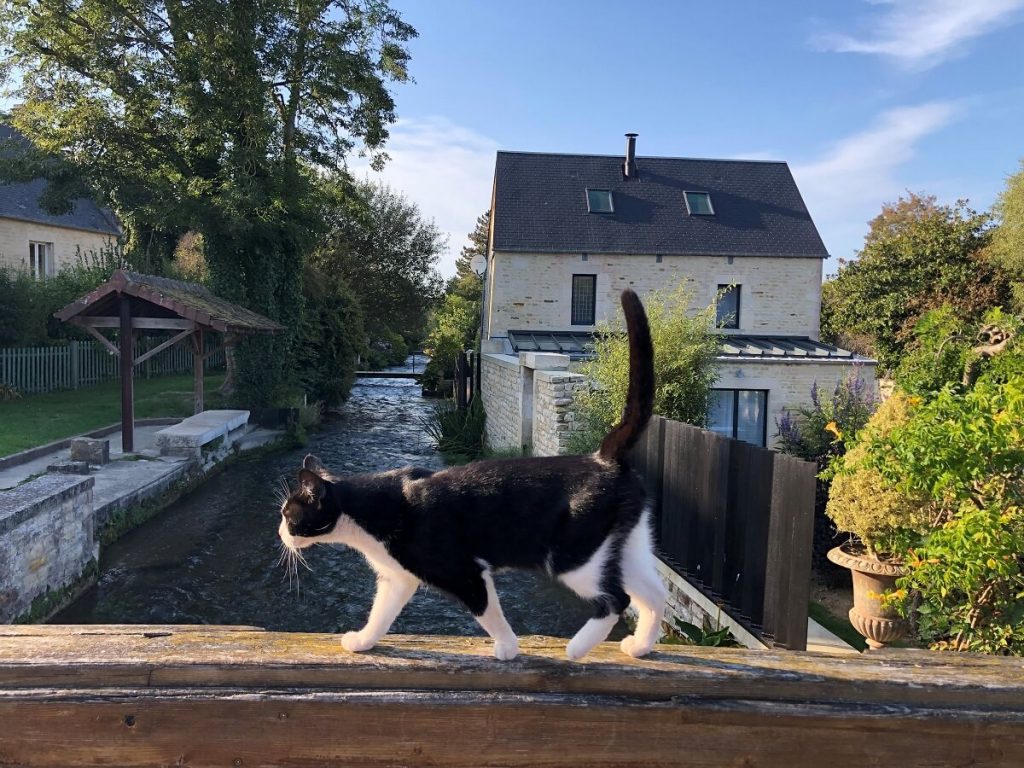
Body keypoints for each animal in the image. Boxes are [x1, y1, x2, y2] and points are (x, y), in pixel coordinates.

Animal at [276, 288, 667, 663]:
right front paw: (362, 641)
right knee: (655, 592)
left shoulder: (463, 571)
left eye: (288, 515)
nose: (280, 532)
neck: (367, 511)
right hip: (626, 546)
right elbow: (381, 614)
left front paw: (508, 648)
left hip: (573, 556)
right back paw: (640, 646)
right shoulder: (396, 579)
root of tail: (603, 458)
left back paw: (577, 648)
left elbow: (488, 612)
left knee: (617, 599)